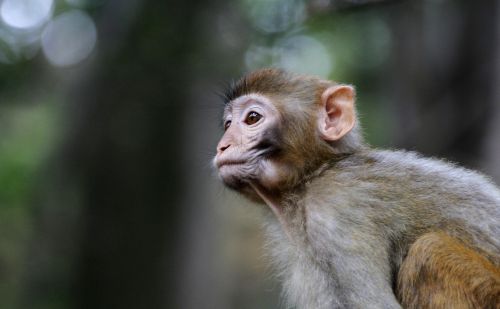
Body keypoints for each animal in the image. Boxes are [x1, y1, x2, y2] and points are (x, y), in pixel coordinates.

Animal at [212, 68, 500, 308]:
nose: (222, 146)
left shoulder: (338, 209)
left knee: (428, 251)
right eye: (227, 124)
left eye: (252, 118)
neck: (314, 175)